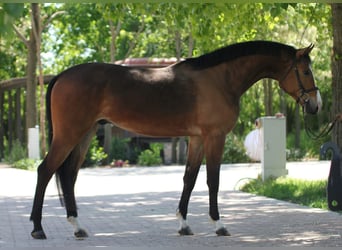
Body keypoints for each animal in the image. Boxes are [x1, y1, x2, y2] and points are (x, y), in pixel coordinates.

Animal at [30, 40, 322, 238]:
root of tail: (61, 76)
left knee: (68, 175)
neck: (220, 78)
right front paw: (219, 224)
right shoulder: (214, 137)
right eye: (306, 71)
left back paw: (78, 227)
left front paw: (183, 224)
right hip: (69, 135)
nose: (316, 104)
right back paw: (38, 228)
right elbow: (212, 180)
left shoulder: (197, 138)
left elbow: (189, 179)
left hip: (85, 135)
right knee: (45, 170)